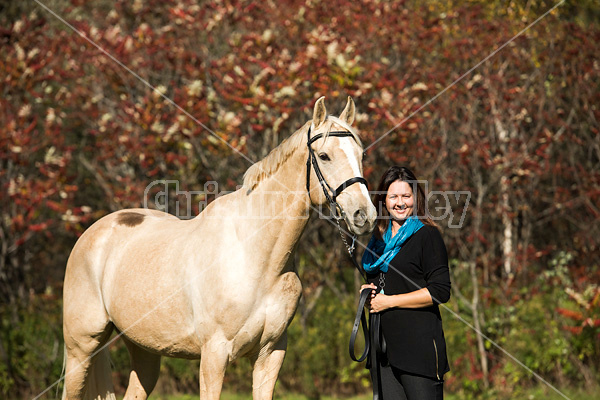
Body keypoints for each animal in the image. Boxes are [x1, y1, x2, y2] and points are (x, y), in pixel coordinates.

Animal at [64, 95, 376, 398]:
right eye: (324, 156)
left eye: (361, 155)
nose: (365, 215)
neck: (256, 257)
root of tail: (92, 233)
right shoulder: (214, 354)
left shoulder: (271, 354)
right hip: (80, 350)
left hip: (144, 349)